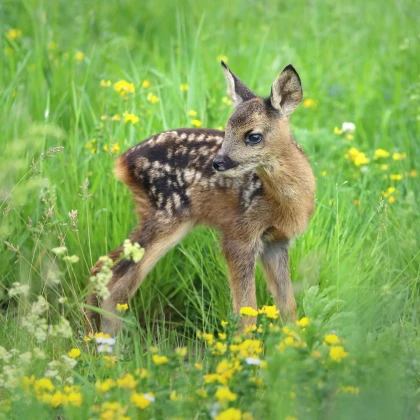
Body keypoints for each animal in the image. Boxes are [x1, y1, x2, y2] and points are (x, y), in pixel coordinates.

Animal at [86, 61, 316, 334]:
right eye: (226, 130)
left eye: (254, 136)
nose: (218, 162)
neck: (286, 202)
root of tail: (122, 162)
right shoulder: (239, 234)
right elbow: (247, 311)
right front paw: (245, 345)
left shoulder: (277, 240)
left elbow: (288, 305)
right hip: (167, 215)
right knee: (115, 280)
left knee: (104, 270)